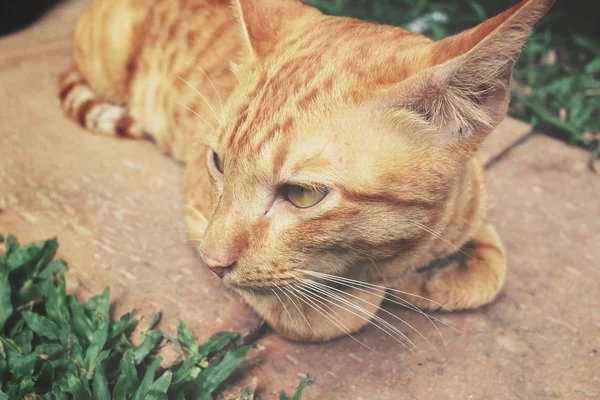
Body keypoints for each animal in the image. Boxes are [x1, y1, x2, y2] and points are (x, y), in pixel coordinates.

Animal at [59, 0, 552, 342]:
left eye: (302, 194)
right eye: (218, 162)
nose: (212, 264)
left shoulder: (474, 207)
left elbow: (493, 270)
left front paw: (434, 280)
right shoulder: (198, 213)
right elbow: (338, 313)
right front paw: (393, 288)